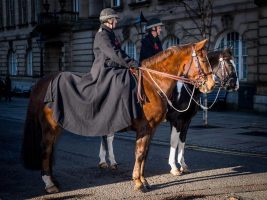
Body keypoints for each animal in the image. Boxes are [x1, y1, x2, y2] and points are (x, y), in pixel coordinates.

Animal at [22, 38, 217, 193]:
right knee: (46, 150)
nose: (211, 85)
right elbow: (140, 153)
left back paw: (54, 180)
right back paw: (49, 184)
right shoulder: (147, 127)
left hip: (58, 127)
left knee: (51, 150)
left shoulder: (153, 129)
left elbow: (145, 154)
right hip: (50, 127)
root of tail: (43, 81)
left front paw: (143, 180)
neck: (152, 83)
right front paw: (138, 183)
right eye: (203, 59)